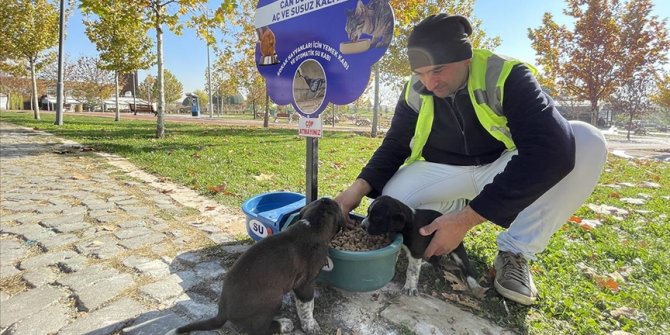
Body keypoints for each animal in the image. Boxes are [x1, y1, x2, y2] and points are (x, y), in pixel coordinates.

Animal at [167, 198, 346, 334]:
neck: (313, 225)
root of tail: (222, 312)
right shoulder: (305, 284)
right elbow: (307, 306)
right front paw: (311, 325)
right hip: (273, 298)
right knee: (259, 329)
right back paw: (283, 324)